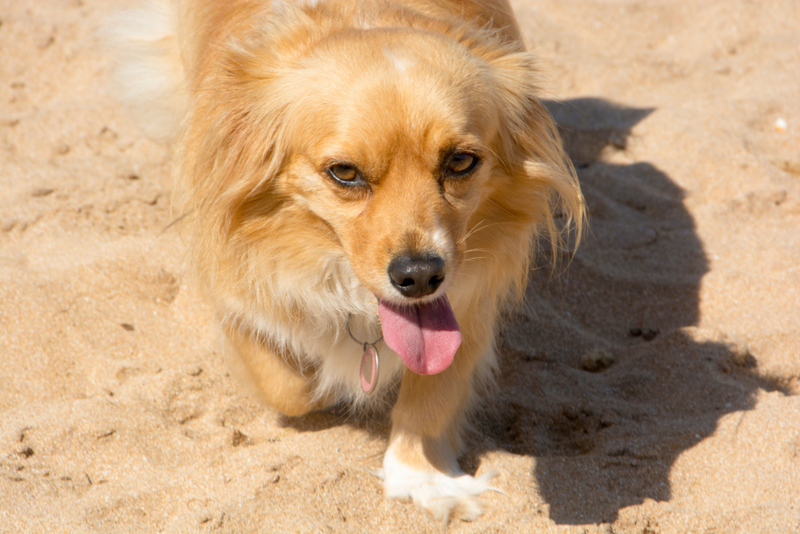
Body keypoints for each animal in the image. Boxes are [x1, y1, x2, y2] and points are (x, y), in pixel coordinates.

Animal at [109, 0, 580, 524]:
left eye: (460, 162)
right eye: (345, 173)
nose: (420, 275)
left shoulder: (471, 295)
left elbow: (434, 392)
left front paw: (423, 478)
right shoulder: (235, 283)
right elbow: (287, 385)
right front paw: (331, 382)